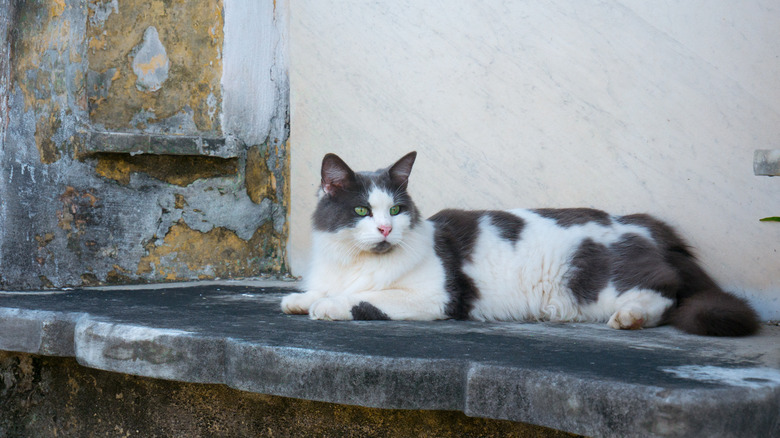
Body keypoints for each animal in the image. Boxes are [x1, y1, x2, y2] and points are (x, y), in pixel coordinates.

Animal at [282, 151, 760, 336]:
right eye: (363, 210)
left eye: (396, 210)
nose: (385, 230)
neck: (356, 263)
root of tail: (645, 224)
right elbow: (318, 290)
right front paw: (301, 299)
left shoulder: (437, 297)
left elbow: (366, 299)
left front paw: (328, 306)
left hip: (599, 285)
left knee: (664, 295)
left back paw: (629, 318)